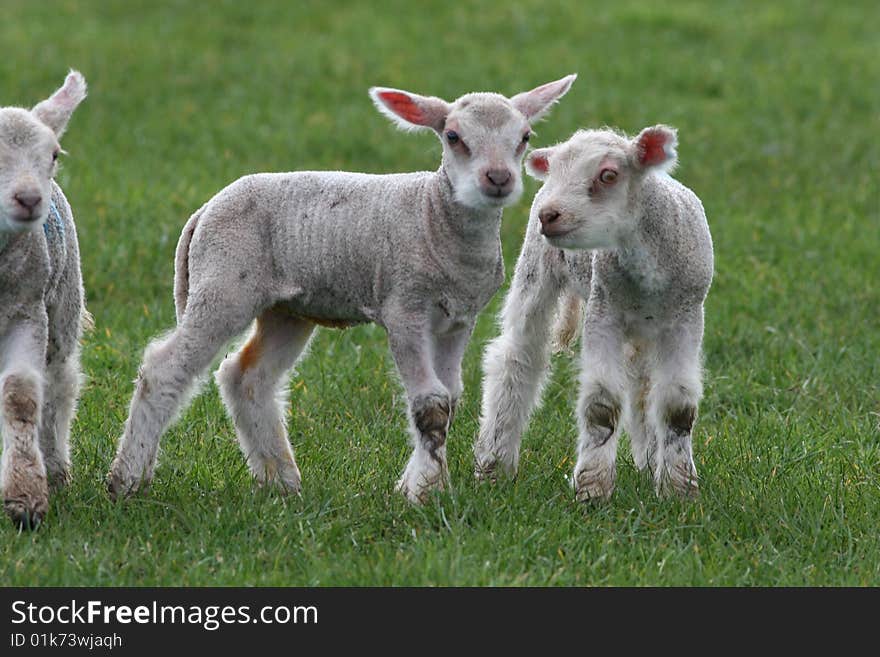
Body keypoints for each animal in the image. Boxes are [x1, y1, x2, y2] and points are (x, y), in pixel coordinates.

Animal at [106, 75, 576, 502]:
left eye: (525, 137)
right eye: (453, 136)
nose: (498, 178)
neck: (434, 217)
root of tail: (203, 210)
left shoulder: (459, 317)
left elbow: (452, 397)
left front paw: (422, 482)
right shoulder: (403, 307)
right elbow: (430, 403)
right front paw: (424, 492)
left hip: (287, 309)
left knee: (247, 376)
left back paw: (280, 480)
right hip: (223, 284)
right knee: (164, 368)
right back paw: (126, 479)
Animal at [474, 125, 716, 500]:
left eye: (608, 175)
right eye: (556, 172)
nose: (549, 215)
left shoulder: (686, 318)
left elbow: (678, 408)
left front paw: (678, 490)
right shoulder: (604, 313)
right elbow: (602, 405)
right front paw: (592, 489)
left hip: (644, 326)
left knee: (642, 384)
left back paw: (649, 460)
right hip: (534, 269)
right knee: (516, 358)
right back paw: (494, 464)